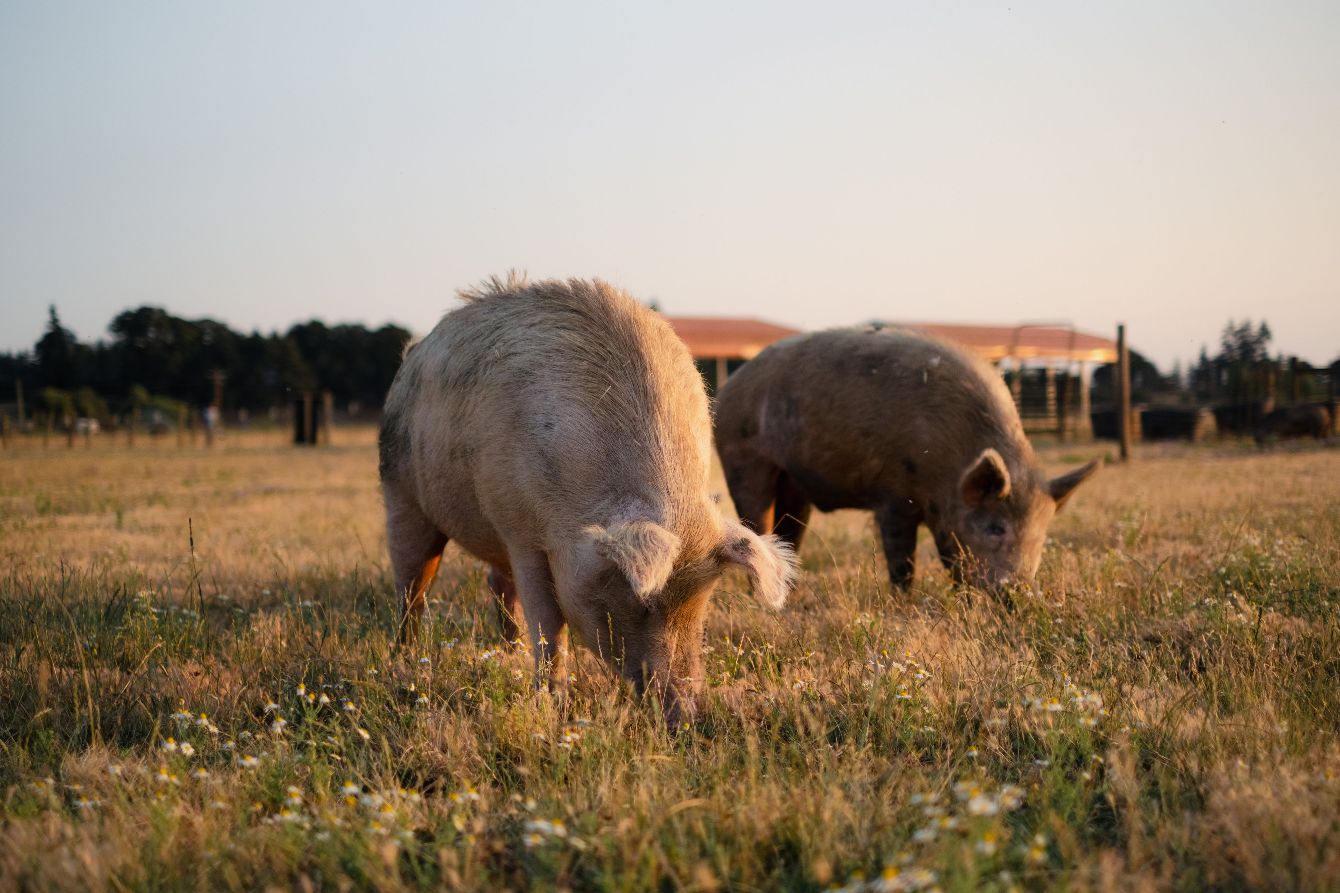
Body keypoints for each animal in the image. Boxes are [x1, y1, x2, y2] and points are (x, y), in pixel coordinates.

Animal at [379, 274, 797, 725]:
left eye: (702, 603)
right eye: (643, 604)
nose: (684, 715)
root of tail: (413, 353)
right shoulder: (521, 531)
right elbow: (548, 621)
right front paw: (552, 703)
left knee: (495, 583)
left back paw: (509, 654)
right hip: (399, 490)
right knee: (412, 586)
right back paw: (404, 658)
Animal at [714, 327, 1099, 590]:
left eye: (1043, 532)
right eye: (995, 527)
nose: (1020, 592)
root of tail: (730, 385)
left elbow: (949, 556)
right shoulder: (894, 496)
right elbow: (902, 560)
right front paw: (904, 602)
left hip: (794, 483)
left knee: (790, 530)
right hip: (744, 458)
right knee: (757, 523)